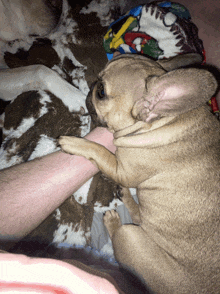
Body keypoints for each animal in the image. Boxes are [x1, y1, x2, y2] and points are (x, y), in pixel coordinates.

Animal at [58, 54, 220, 292]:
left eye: (102, 92)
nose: (91, 86)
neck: (164, 121)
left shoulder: (122, 170)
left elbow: (99, 151)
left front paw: (75, 143)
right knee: (139, 216)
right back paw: (124, 195)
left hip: (131, 237)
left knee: (125, 230)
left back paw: (113, 221)